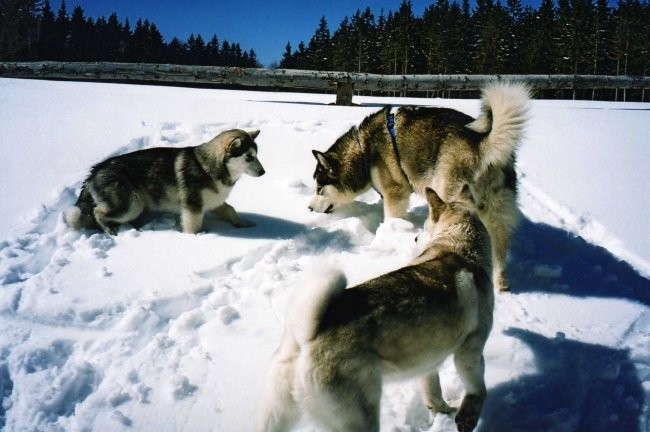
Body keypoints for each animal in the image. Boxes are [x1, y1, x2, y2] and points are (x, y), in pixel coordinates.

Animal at [61, 129, 264, 233]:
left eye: (256, 155)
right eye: (248, 157)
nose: (263, 172)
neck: (207, 166)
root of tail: (94, 171)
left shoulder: (215, 200)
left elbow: (230, 210)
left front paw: (242, 224)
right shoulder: (193, 206)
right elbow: (193, 227)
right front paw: (196, 238)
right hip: (132, 204)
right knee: (97, 212)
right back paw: (109, 229)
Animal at [256, 188, 494, 432]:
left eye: (426, 227)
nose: (415, 238)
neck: (459, 247)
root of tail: (305, 338)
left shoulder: (429, 364)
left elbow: (432, 391)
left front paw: (443, 411)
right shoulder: (470, 353)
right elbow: (478, 390)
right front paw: (466, 417)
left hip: (277, 413)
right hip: (362, 416)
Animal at [308, 81, 528, 290]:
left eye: (319, 189)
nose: (309, 208)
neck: (364, 151)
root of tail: (483, 144)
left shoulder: (394, 192)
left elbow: (392, 216)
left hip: (450, 195)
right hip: (496, 213)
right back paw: (500, 285)